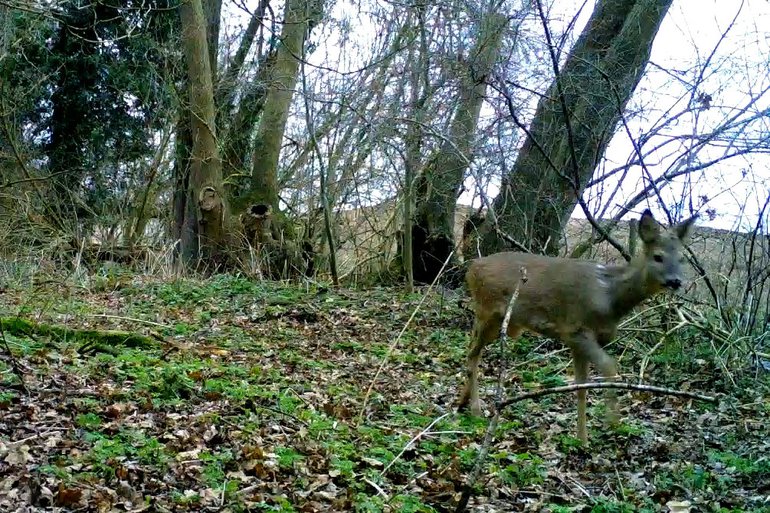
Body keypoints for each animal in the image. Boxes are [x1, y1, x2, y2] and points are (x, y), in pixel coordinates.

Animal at [456, 209, 697, 442]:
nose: (676, 281)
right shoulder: (575, 331)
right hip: (487, 310)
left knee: (473, 349)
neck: (609, 296)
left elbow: (582, 387)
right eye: (658, 257)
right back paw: (475, 409)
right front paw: (613, 420)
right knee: (472, 352)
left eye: (682, 258)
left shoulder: (581, 340)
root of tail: (471, 268)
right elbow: (609, 366)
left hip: (502, 321)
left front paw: (583, 440)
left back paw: (462, 403)